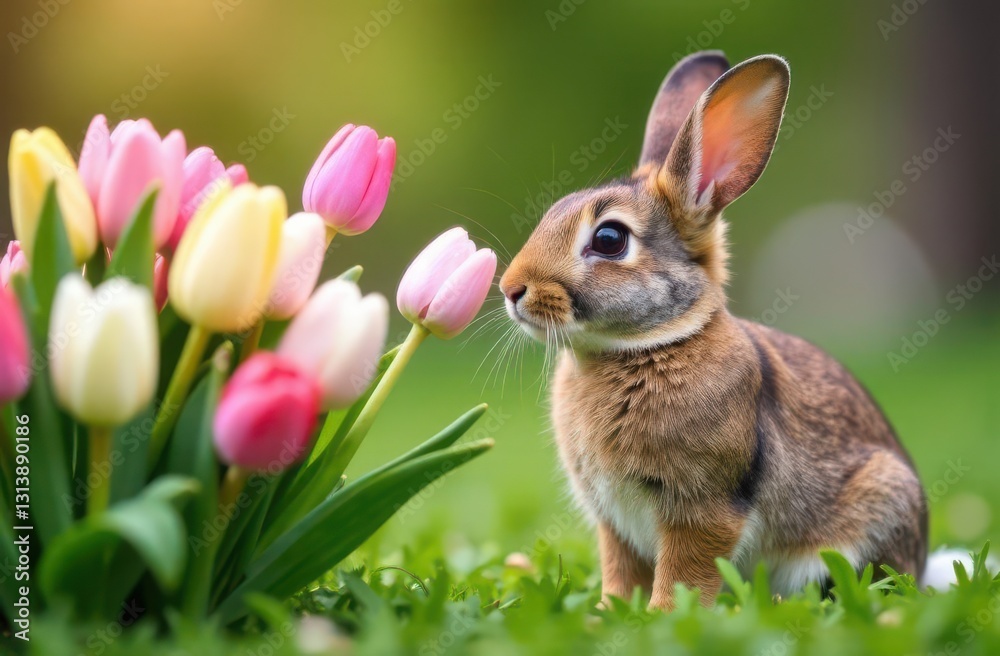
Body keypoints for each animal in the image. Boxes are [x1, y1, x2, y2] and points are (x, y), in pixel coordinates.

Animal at [499, 51, 928, 609]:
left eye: (610, 239)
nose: (511, 288)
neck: (649, 344)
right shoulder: (614, 522)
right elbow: (621, 570)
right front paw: (607, 611)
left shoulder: (702, 507)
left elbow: (686, 570)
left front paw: (660, 615)